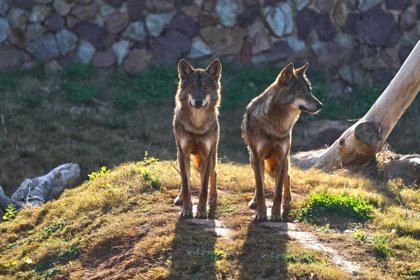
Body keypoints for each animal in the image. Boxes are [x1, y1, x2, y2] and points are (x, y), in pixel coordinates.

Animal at [173, 59, 223, 220]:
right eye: (193, 87)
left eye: (206, 87)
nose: (198, 102)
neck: (196, 125)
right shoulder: (183, 153)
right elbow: (186, 184)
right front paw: (187, 210)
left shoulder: (207, 155)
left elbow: (203, 187)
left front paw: (201, 211)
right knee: (186, 179)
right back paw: (179, 198)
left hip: (212, 157)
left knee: (214, 173)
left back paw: (213, 196)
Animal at [241, 63, 324, 221]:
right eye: (302, 91)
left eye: (309, 91)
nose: (321, 105)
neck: (276, 127)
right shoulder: (258, 157)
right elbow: (260, 188)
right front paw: (261, 213)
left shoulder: (281, 157)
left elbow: (278, 191)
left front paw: (276, 214)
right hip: (253, 160)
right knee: (259, 180)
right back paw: (254, 202)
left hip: (285, 160)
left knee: (287, 176)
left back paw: (287, 199)